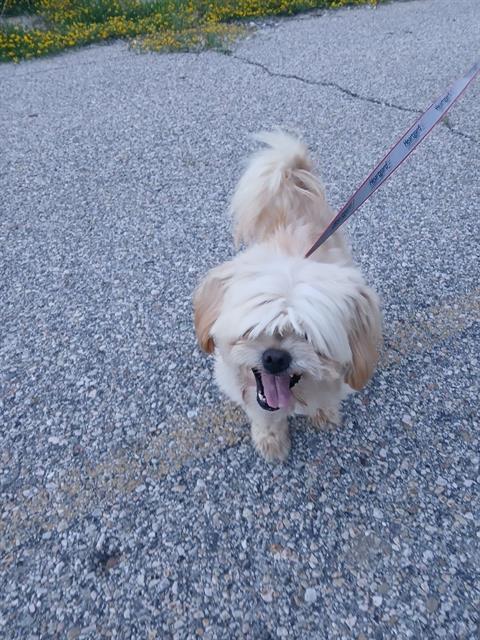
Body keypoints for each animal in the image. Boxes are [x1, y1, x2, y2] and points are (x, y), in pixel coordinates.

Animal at [193, 131, 380, 460]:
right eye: (253, 329)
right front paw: (271, 438)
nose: (276, 357)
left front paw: (324, 412)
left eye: (308, 336)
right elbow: (263, 415)